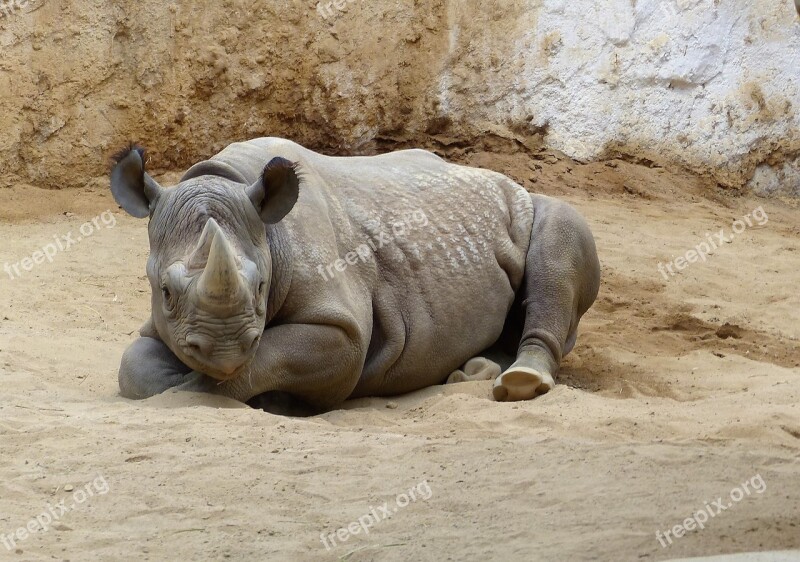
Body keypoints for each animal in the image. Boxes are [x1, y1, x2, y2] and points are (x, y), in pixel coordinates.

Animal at [112, 137, 600, 412]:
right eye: (165, 292)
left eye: (262, 287)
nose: (226, 350)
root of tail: (507, 180)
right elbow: (133, 366)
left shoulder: (341, 328)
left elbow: (256, 366)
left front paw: (257, 396)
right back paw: (470, 373)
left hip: (532, 203)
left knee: (559, 235)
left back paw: (521, 382)